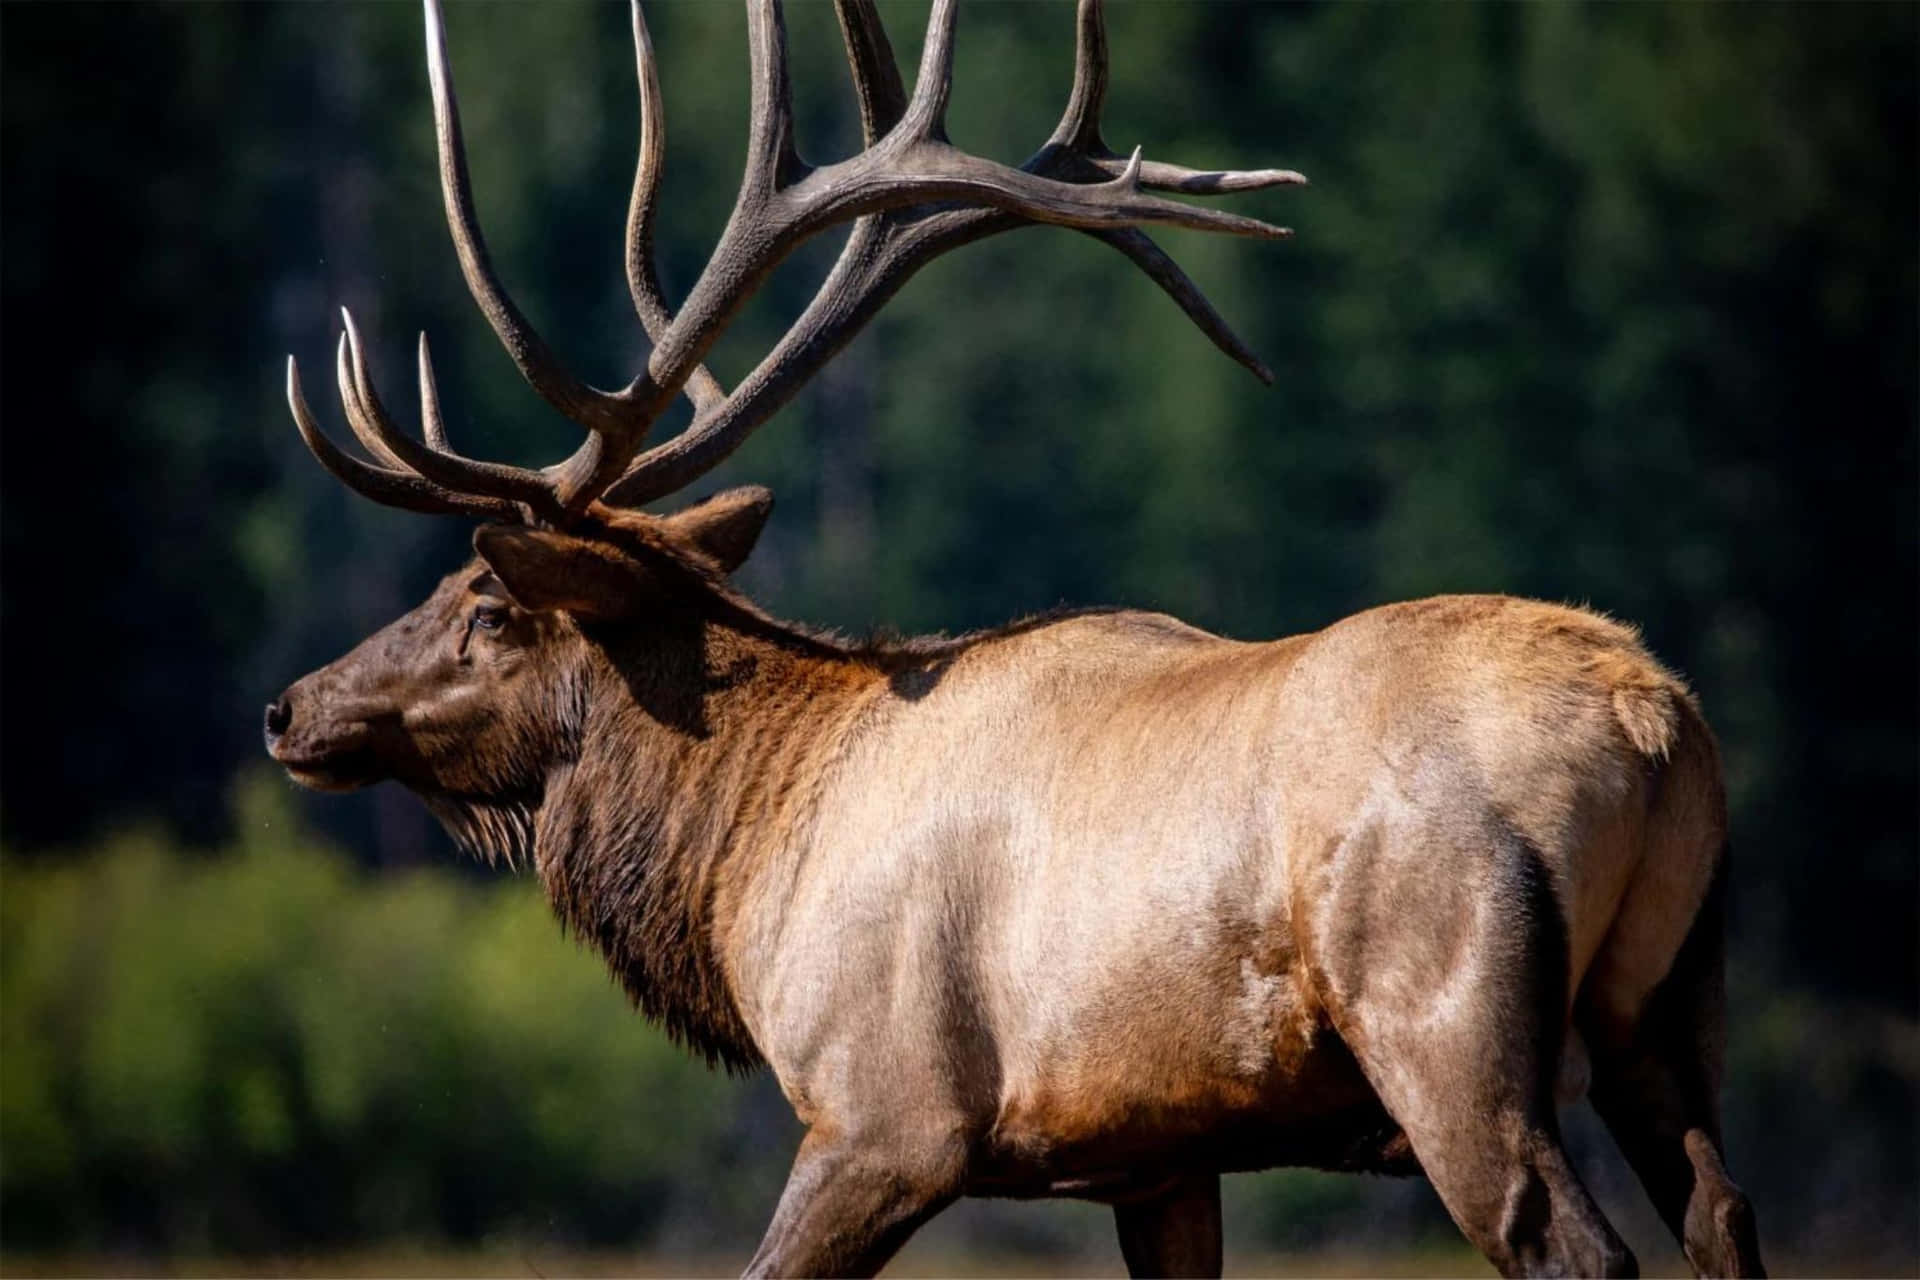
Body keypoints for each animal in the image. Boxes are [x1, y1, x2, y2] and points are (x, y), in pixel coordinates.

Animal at [263, 5, 1758, 1274]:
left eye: (487, 604)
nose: (290, 708)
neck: (748, 854)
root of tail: (1655, 720)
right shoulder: (1156, 1156)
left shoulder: (885, 1117)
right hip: (1665, 1014)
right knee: (1720, 1217)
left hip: (1445, 1014)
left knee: (1575, 1242)